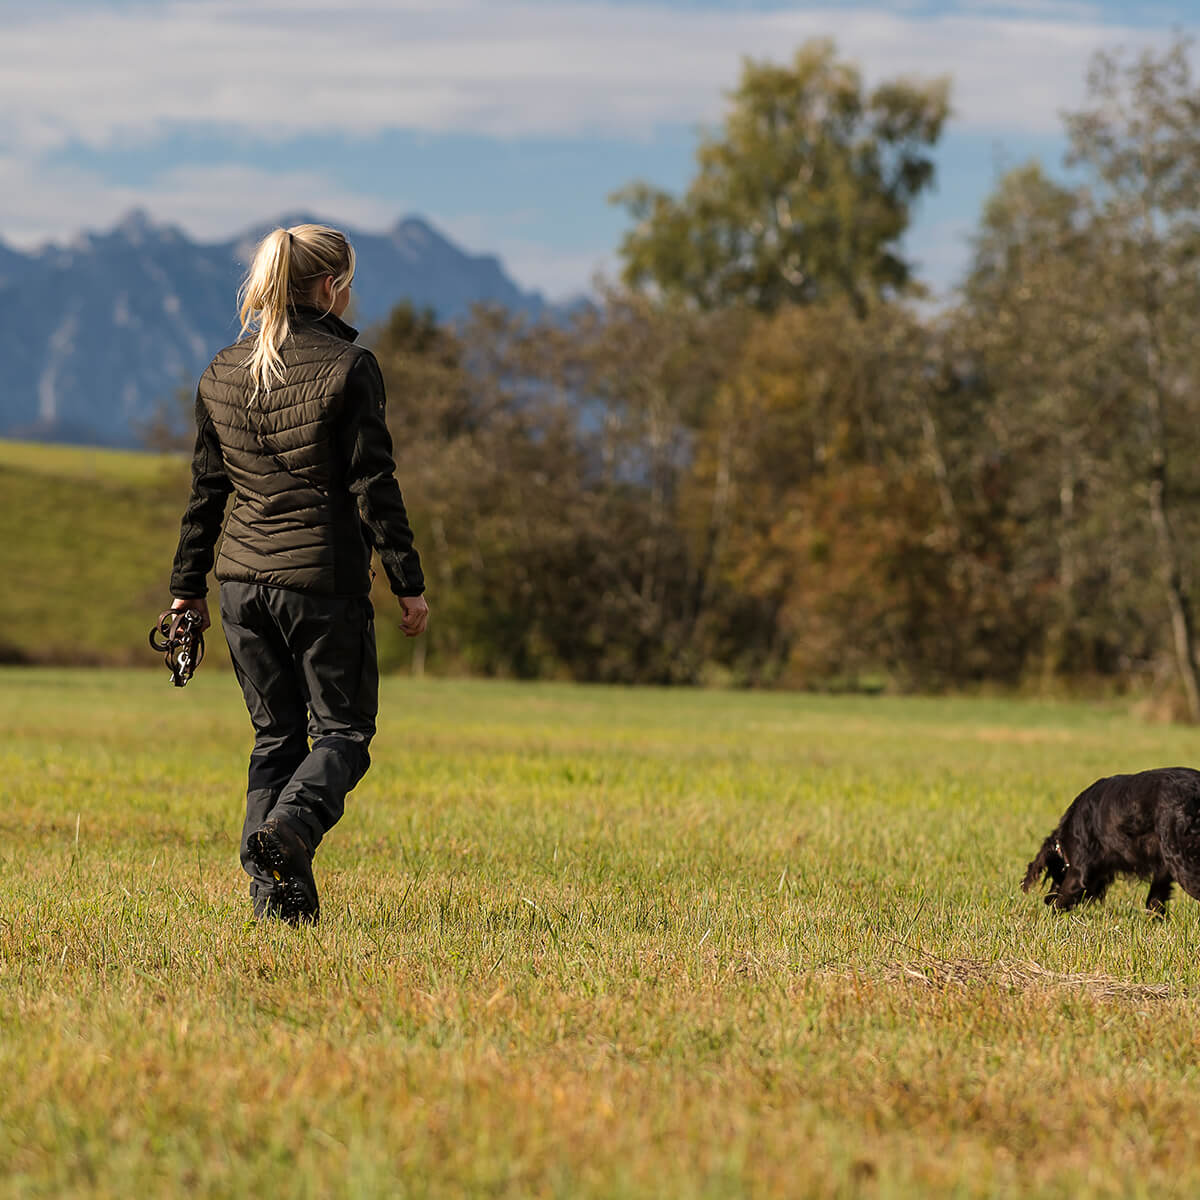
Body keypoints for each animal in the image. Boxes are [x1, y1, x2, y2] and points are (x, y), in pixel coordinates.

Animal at [1022, 763, 1200, 912]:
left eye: (1055, 873)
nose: (1046, 899)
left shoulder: (1078, 873)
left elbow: (1061, 902)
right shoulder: (1161, 868)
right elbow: (1154, 901)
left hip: (1180, 861)